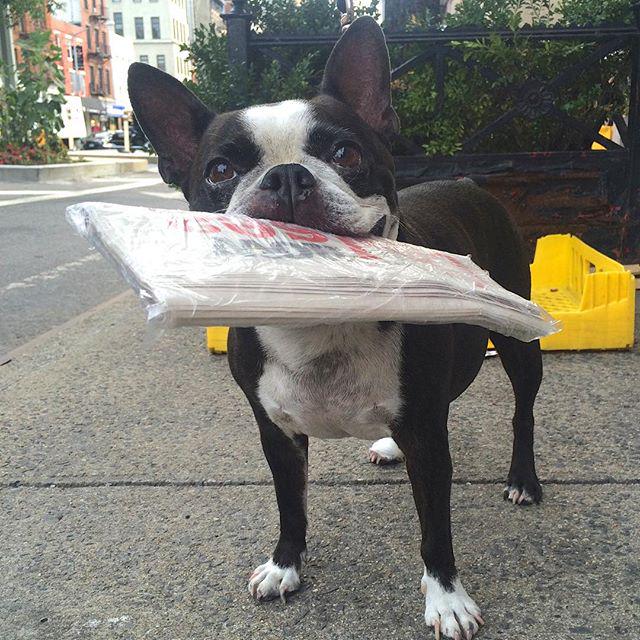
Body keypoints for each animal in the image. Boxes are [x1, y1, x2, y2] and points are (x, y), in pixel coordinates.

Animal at [128, 16, 543, 639]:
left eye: (345, 153)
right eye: (220, 171)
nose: (287, 177)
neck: (321, 309)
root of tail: (469, 181)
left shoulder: (427, 436)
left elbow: (435, 529)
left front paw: (446, 599)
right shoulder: (276, 432)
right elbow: (290, 505)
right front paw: (284, 565)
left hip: (519, 340)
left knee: (523, 410)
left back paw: (523, 480)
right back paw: (388, 445)